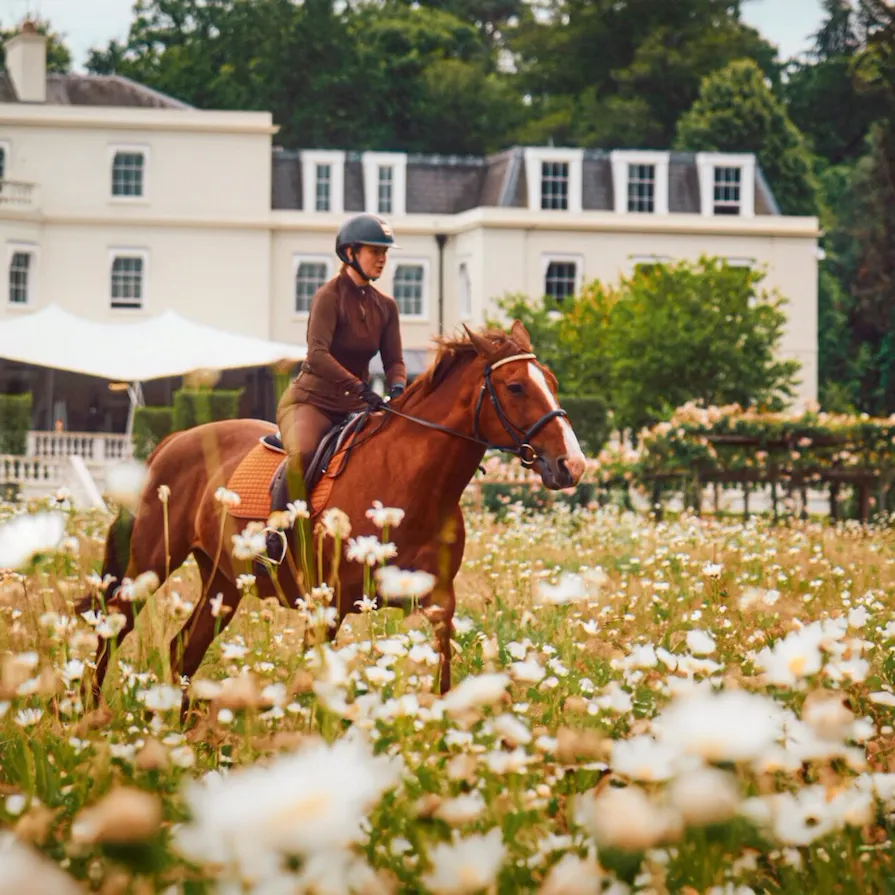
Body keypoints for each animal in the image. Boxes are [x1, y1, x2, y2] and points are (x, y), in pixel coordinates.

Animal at [77, 321, 586, 711]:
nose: (572, 465)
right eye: (516, 387)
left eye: (553, 382)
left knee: (185, 648)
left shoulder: (439, 601)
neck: (408, 484)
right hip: (151, 562)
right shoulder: (327, 606)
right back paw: (89, 712)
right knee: (113, 625)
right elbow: (310, 682)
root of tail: (174, 441)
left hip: (224, 580)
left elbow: (442, 675)